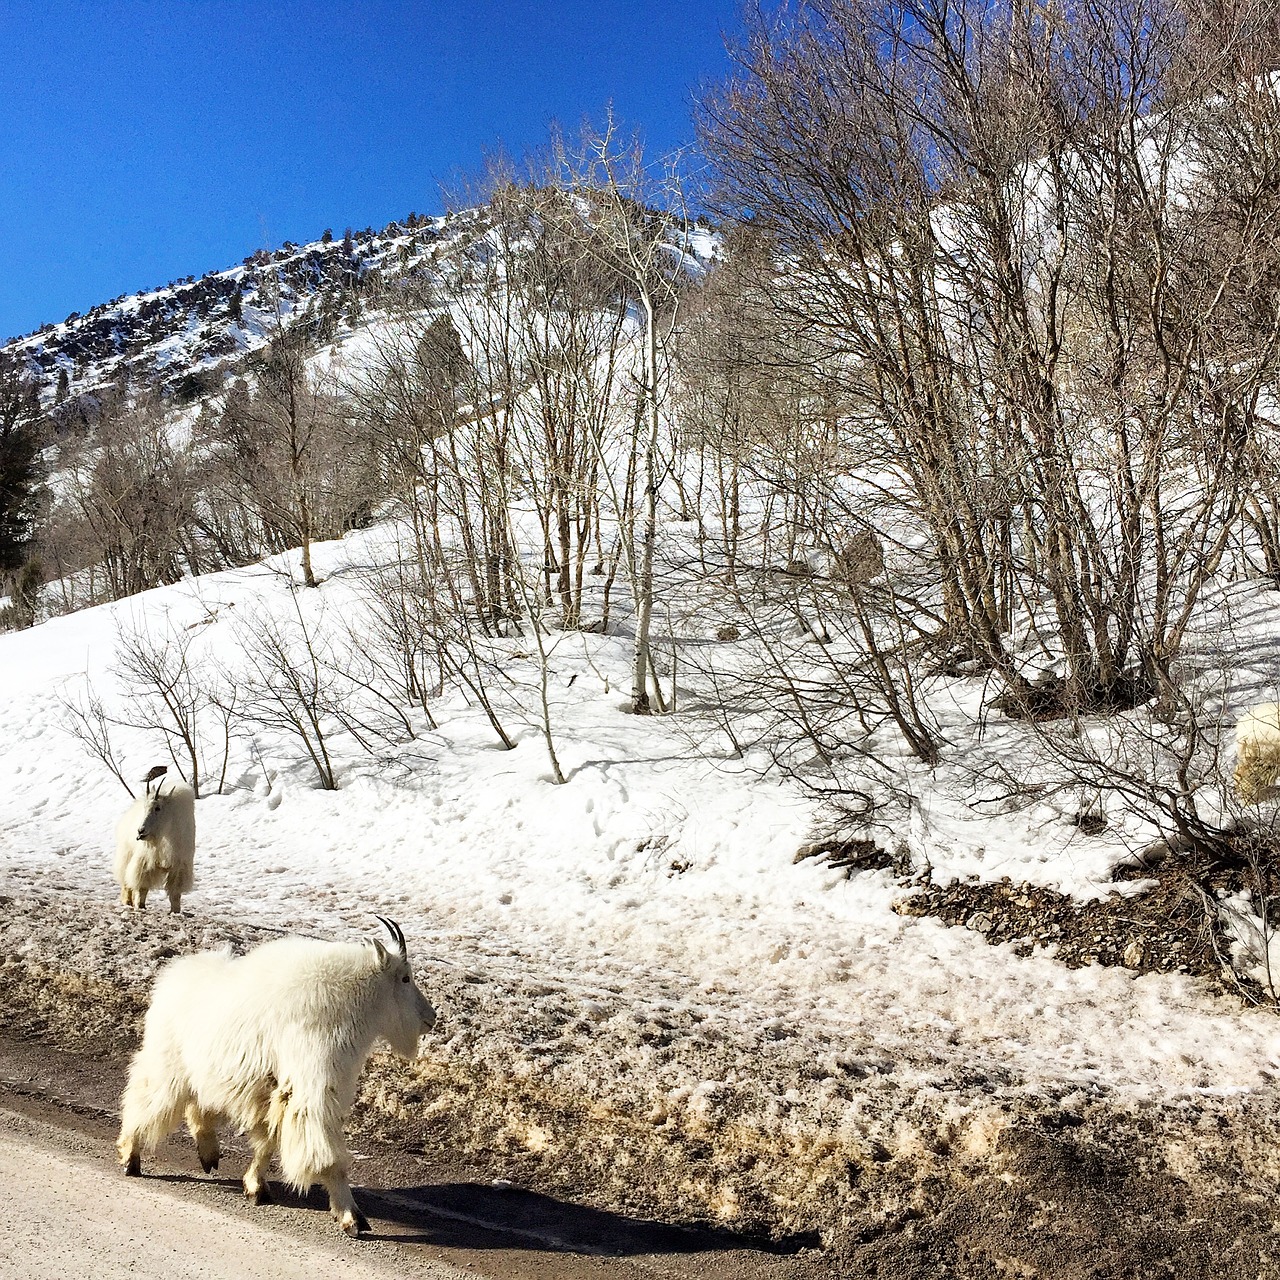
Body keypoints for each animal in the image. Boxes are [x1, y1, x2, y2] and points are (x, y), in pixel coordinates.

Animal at [112, 762, 194, 916]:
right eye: (146, 807)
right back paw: (127, 901)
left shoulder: (179, 865)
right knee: (126, 879)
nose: (140, 831)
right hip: (126, 852)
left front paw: (175, 911)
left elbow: (175, 893)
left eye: (158, 808)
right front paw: (140, 906)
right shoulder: (145, 860)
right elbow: (142, 886)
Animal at [116, 916, 435, 1233]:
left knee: (197, 1108)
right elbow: (328, 1159)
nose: (430, 1018)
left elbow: (267, 1144)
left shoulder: (277, 1093)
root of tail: (170, 980)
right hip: (167, 1068)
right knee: (143, 1101)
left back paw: (208, 1155)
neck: (349, 1003)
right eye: (405, 977)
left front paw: (256, 1188)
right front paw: (351, 1217)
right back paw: (131, 1156)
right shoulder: (311, 1092)